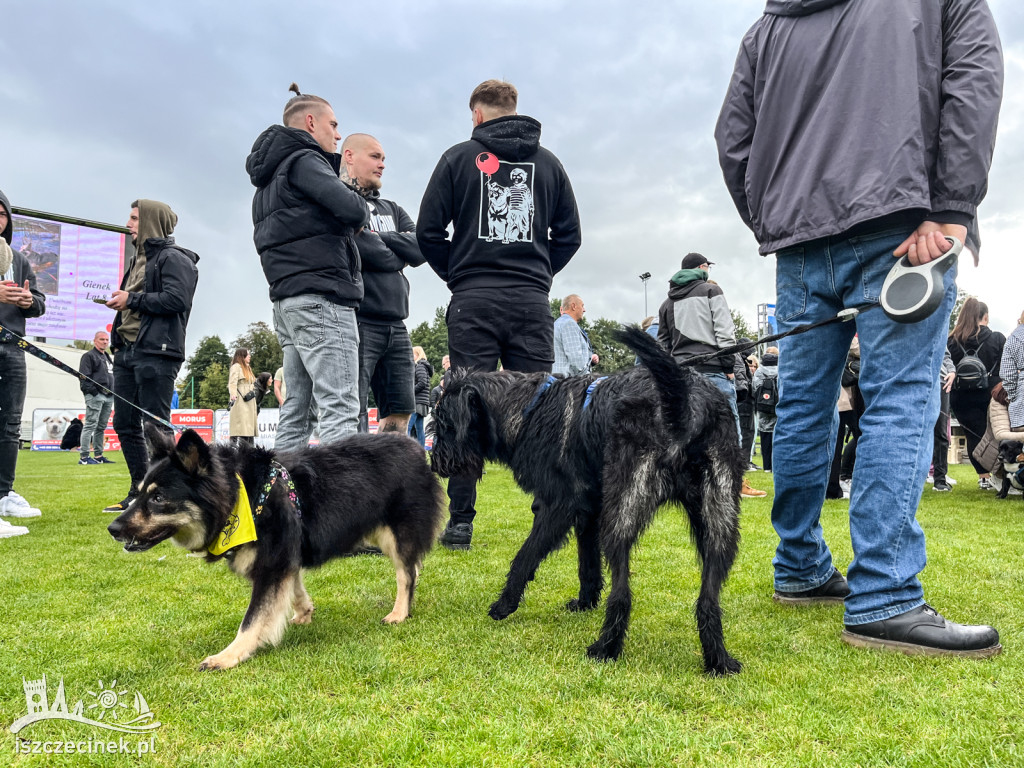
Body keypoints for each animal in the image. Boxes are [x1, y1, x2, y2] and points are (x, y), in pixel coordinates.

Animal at [107, 430, 444, 671]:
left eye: (159, 498)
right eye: (139, 494)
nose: (113, 528)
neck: (241, 495)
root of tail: (418, 448)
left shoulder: (272, 563)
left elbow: (252, 619)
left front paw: (227, 657)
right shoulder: (284, 558)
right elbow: (293, 589)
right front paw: (304, 612)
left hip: (397, 535)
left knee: (406, 574)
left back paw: (399, 613)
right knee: (414, 568)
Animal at [430, 327, 745, 675]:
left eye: (444, 423)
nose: (435, 463)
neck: (527, 410)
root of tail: (686, 399)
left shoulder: (556, 506)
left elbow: (526, 556)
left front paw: (504, 604)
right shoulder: (588, 511)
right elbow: (587, 562)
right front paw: (585, 602)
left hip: (622, 515)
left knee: (622, 594)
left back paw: (606, 647)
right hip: (717, 525)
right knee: (708, 599)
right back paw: (718, 660)